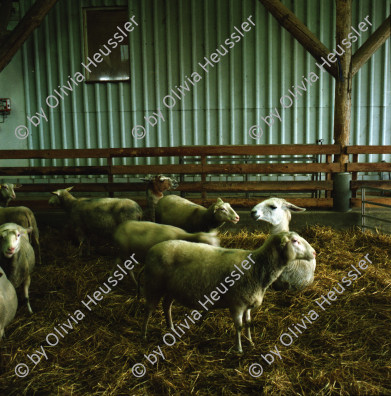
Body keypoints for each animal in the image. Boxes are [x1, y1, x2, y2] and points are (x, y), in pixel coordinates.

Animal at [142, 232, 316, 352]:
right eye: (295, 241)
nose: (314, 253)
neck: (256, 269)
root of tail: (151, 250)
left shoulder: (247, 302)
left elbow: (248, 323)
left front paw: (251, 342)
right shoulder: (237, 303)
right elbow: (238, 326)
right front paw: (239, 349)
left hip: (170, 288)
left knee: (166, 306)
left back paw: (170, 327)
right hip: (153, 284)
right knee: (149, 310)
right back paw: (143, 335)